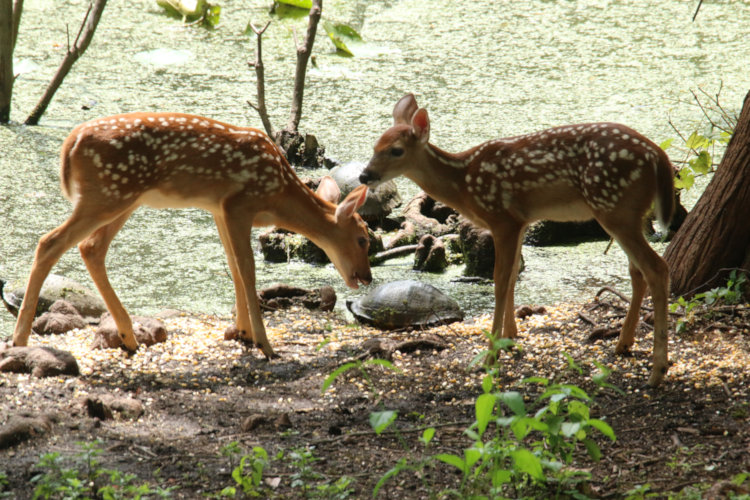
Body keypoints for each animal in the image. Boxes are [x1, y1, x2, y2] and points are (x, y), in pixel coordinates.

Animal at [11, 112, 372, 358]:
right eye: (363, 238)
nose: (367, 277)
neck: (278, 193)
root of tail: (71, 142)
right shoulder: (240, 204)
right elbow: (248, 270)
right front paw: (265, 344)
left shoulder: (219, 209)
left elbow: (233, 268)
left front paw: (243, 333)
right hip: (109, 193)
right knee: (50, 242)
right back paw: (20, 339)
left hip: (124, 197)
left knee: (90, 247)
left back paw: (128, 337)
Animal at [360, 94, 674, 387]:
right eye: (374, 146)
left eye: (396, 150)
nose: (364, 175)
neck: (464, 184)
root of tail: (658, 155)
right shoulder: (522, 221)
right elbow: (513, 275)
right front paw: (510, 337)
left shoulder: (502, 219)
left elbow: (499, 280)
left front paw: (490, 356)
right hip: (629, 213)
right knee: (637, 271)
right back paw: (623, 344)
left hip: (614, 205)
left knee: (656, 267)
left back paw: (658, 370)